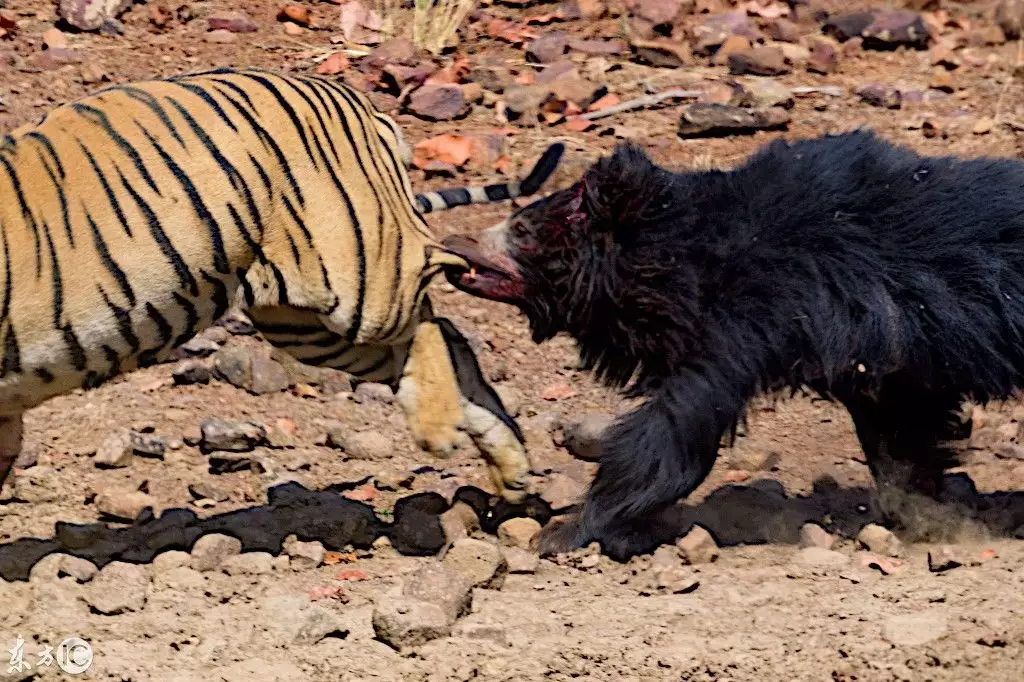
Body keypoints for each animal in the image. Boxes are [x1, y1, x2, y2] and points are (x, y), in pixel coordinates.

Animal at [0, 66, 565, 501]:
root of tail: (359, 103)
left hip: (364, 281)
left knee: (431, 307)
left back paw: (438, 430)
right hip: (303, 323)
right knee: (443, 339)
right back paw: (509, 467)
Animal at [444, 130, 1024, 561]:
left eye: (522, 228)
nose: (453, 243)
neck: (678, 259)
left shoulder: (752, 317)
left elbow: (675, 429)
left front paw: (565, 530)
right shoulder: (880, 353)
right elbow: (901, 426)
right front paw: (923, 515)